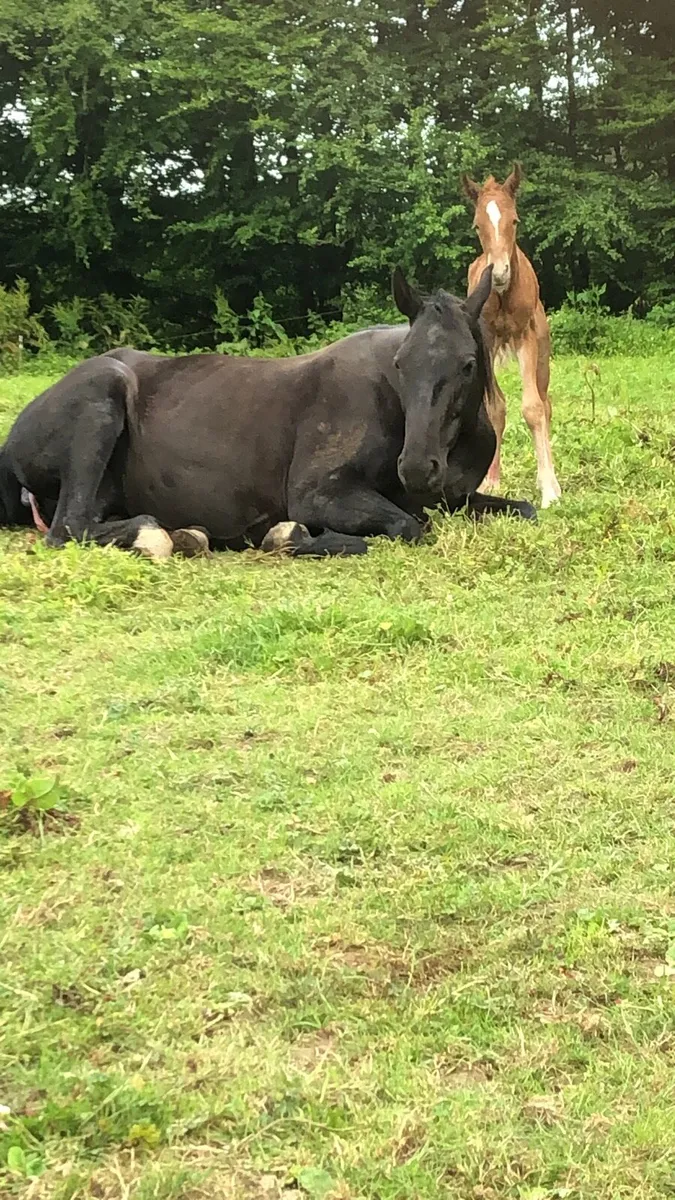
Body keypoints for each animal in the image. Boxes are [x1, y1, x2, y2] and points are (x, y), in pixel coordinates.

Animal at [0, 266, 536, 561]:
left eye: (468, 364)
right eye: (402, 363)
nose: (419, 468)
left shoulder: (458, 499)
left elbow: (525, 509)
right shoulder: (316, 496)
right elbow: (406, 526)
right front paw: (285, 536)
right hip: (101, 400)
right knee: (69, 528)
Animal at [461, 164, 562, 509]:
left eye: (514, 220)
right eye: (477, 225)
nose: (499, 274)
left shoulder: (526, 336)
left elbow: (533, 408)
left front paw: (549, 490)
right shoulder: (486, 339)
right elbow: (495, 408)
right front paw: (490, 481)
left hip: (542, 353)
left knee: (545, 404)